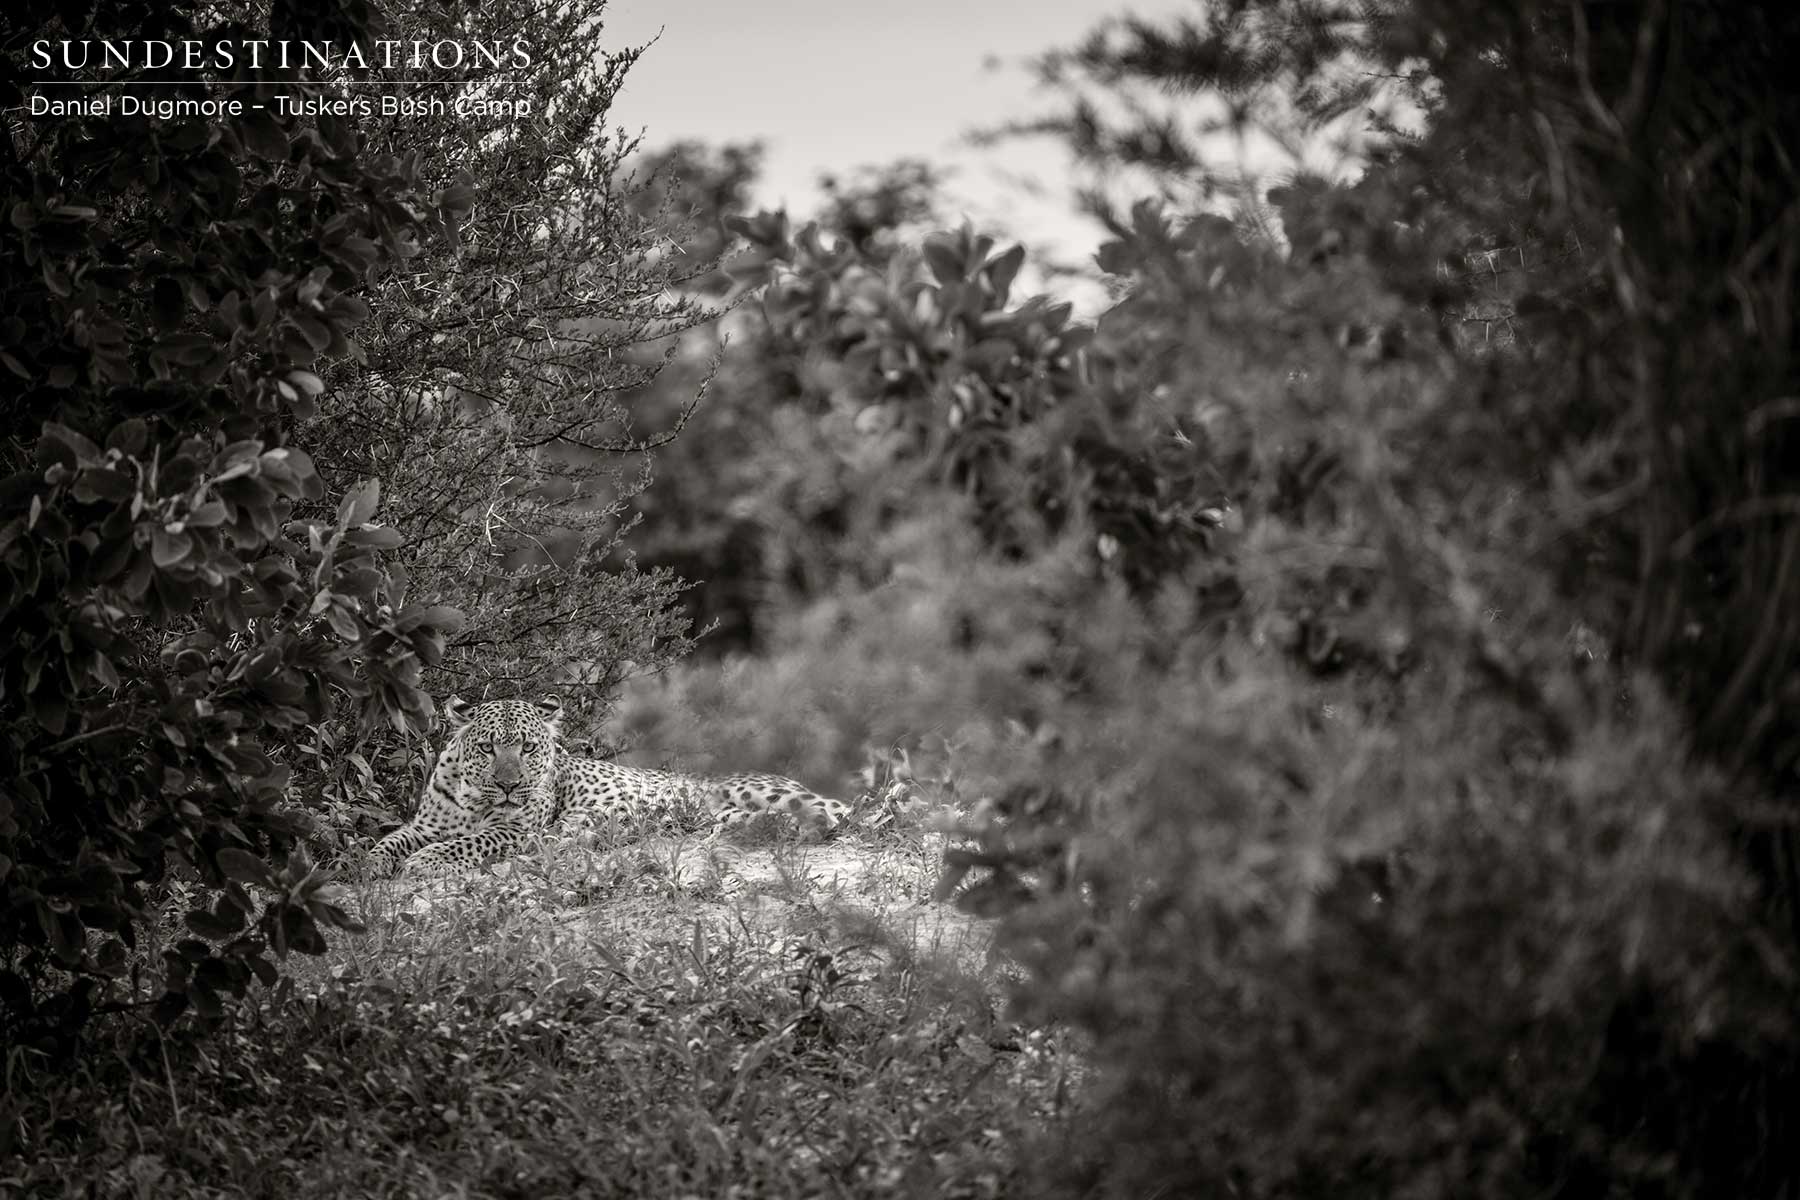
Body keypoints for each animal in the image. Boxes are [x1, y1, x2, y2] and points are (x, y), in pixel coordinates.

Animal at [369, 694, 850, 875]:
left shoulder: (518, 829)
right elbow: (390, 841)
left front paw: (425, 862)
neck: (472, 799)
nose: (508, 785)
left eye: (527, 748)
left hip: (760, 791)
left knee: (826, 815)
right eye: (487, 748)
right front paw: (363, 864)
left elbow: (469, 842)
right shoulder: (425, 825)